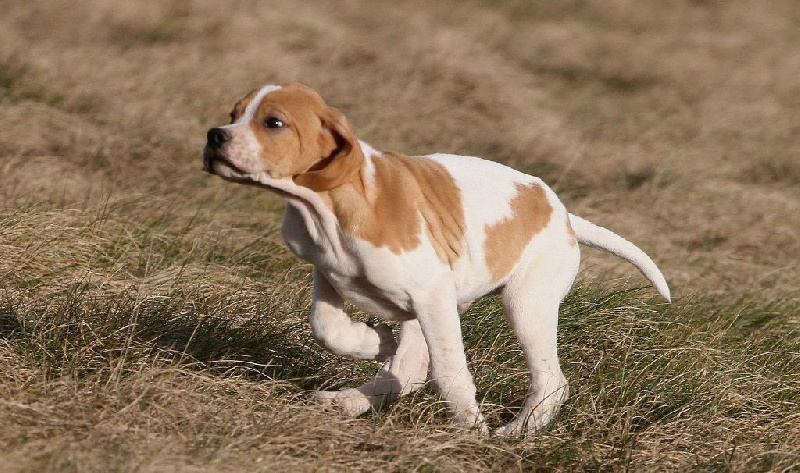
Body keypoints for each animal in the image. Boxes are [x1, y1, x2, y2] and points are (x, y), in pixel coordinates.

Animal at [203, 82, 672, 436]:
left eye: (273, 123)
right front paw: (375, 342)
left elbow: (450, 372)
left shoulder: (431, 296)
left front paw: (470, 429)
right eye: (233, 113)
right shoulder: (330, 273)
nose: (214, 135)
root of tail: (564, 215)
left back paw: (516, 433)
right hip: (439, 310)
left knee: (550, 380)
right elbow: (327, 327)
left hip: (524, 304)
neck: (328, 207)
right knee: (409, 368)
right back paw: (350, 399)